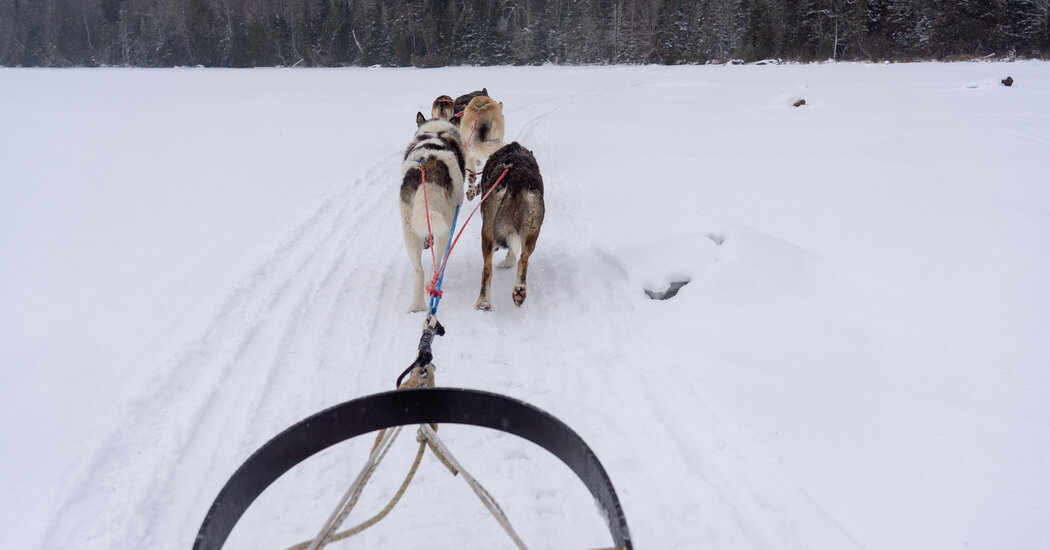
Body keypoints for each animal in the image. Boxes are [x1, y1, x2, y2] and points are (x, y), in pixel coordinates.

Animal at [398, 111, 466, 312]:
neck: (436, 132)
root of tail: (428, 169)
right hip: (446, 226)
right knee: (438, 261)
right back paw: (433, 283)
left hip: (409, 227)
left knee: (418, 269)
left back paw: (417, 306)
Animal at [474, 141, 541, 310]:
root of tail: (518, 177)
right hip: (532, 233)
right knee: (523, 259)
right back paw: (519, 290)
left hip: (487, 234)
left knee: (487, 269)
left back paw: (483, 303)